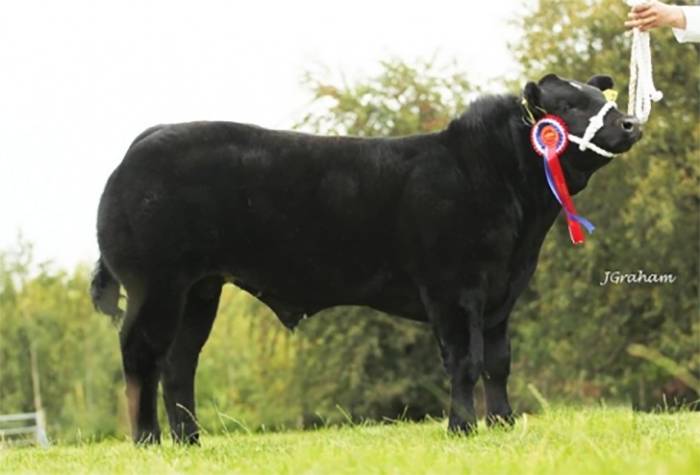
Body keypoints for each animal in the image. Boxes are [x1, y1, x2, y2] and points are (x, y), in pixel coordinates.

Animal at [91, 73, 642, 444]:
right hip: (156, 286)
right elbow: (465, 361)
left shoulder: (502, 294)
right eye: (569, 104)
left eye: (604, 99)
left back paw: (189, 440)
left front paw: (502, 422)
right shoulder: (454, 290)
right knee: (141, 355)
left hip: (199, 289)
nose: (632, 122)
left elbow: (498, 362)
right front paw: (462, 428)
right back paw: (148, 440)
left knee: (179, 362)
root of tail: (144, 142)